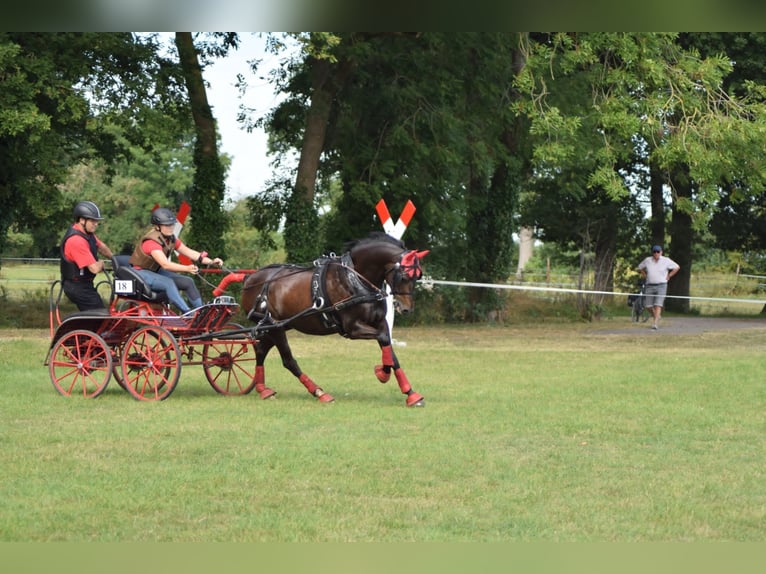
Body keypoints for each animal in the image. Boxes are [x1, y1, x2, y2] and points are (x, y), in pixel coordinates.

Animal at [240, 232, 428, 408]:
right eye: (403, 276)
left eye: (418, 276)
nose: (406, 309)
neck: (355, 279)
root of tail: (250, 279)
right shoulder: (352, 328)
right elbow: (382, 339)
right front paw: (382, 373)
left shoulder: (380, 323)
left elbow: (389, 350)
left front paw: (410, 393)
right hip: (276, 328)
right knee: (288, 360)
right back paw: (319, 393)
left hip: (276, 327)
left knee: (261, 350)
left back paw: (263, 389)